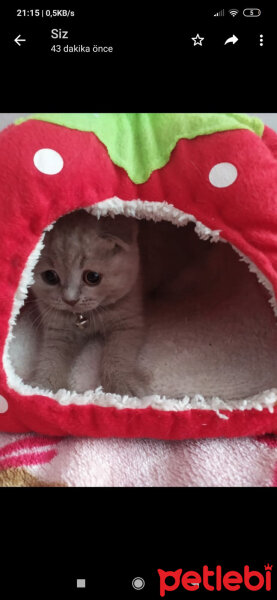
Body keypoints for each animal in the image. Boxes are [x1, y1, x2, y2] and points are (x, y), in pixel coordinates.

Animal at [27, 209, 148, 396]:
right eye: (50, 277)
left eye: (92, 277)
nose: (70, 300)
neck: (86, 316)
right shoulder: (58, 331)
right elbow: (50, 359)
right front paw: (41, 388)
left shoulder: (128, 323)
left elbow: (117, 355)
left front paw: (123, 385)